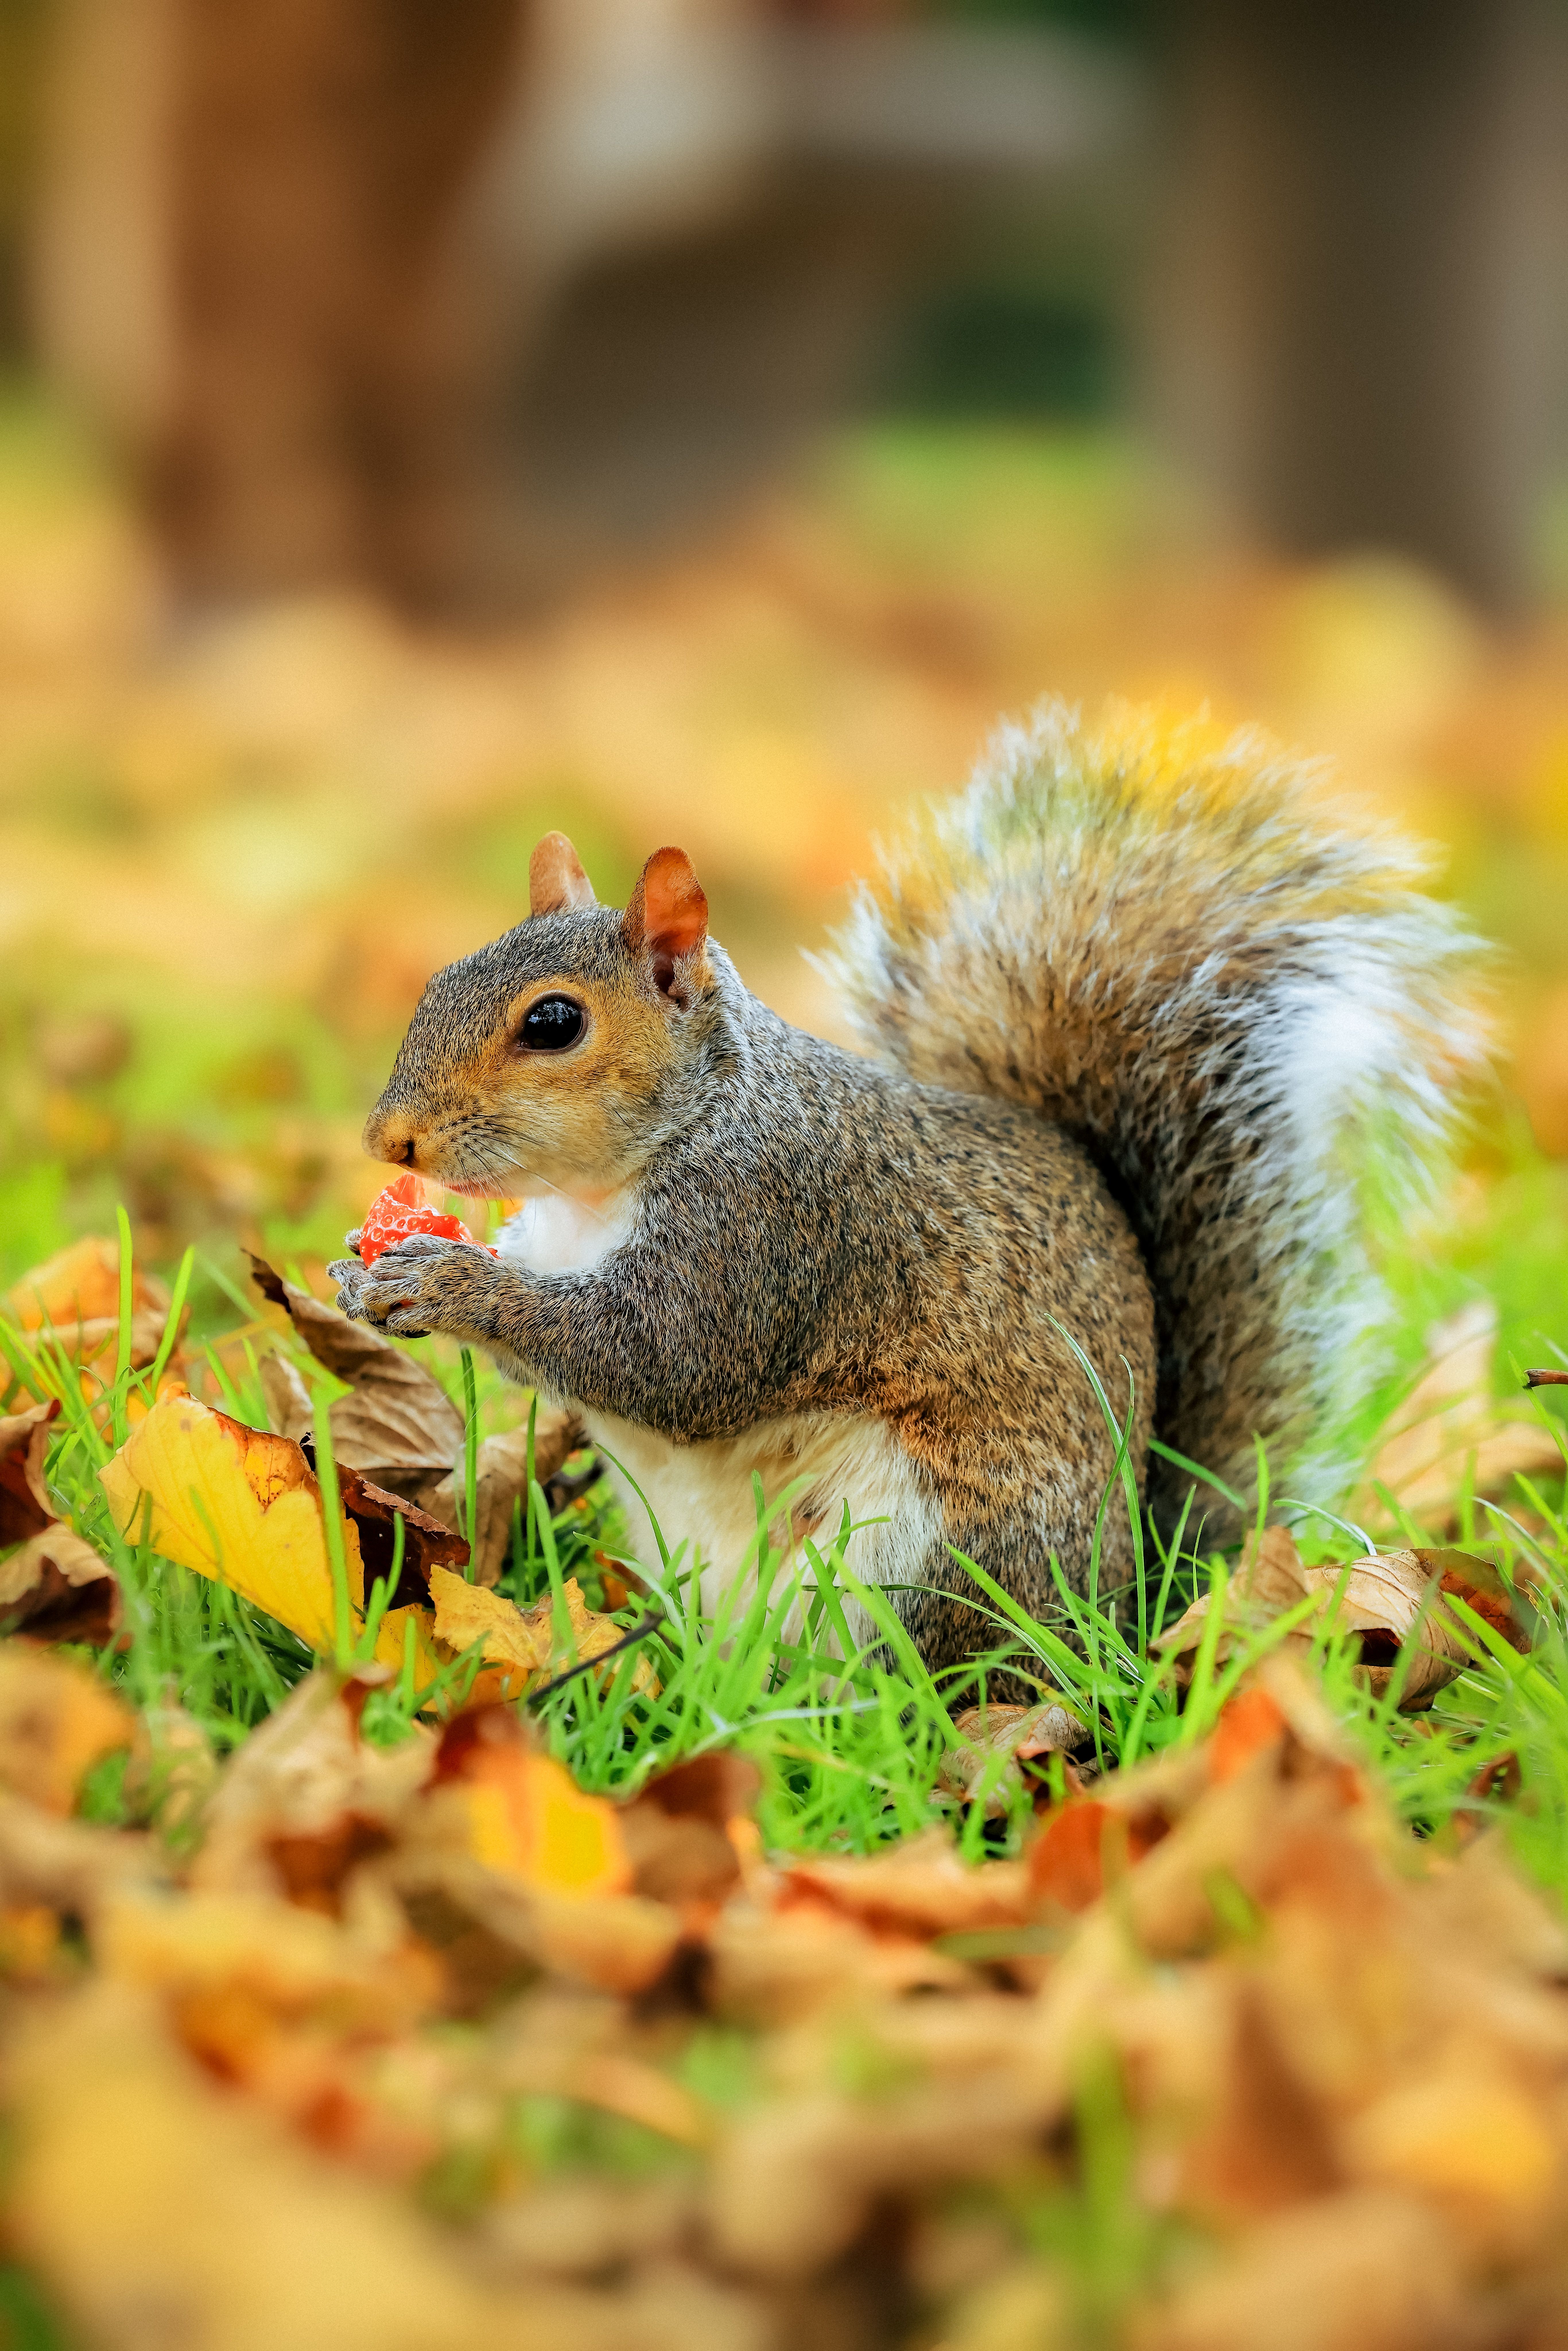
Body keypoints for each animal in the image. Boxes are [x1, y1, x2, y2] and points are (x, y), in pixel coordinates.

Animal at [331, 701, 1486, 1679]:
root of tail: (1124, 1609)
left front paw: (446, 1282)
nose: (389, 1138)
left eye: (553, 1022)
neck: (606, 1186)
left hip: (914, 1549)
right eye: (438, 979)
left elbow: (660, 1362)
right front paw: (362, 1271)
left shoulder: (766, 1234)